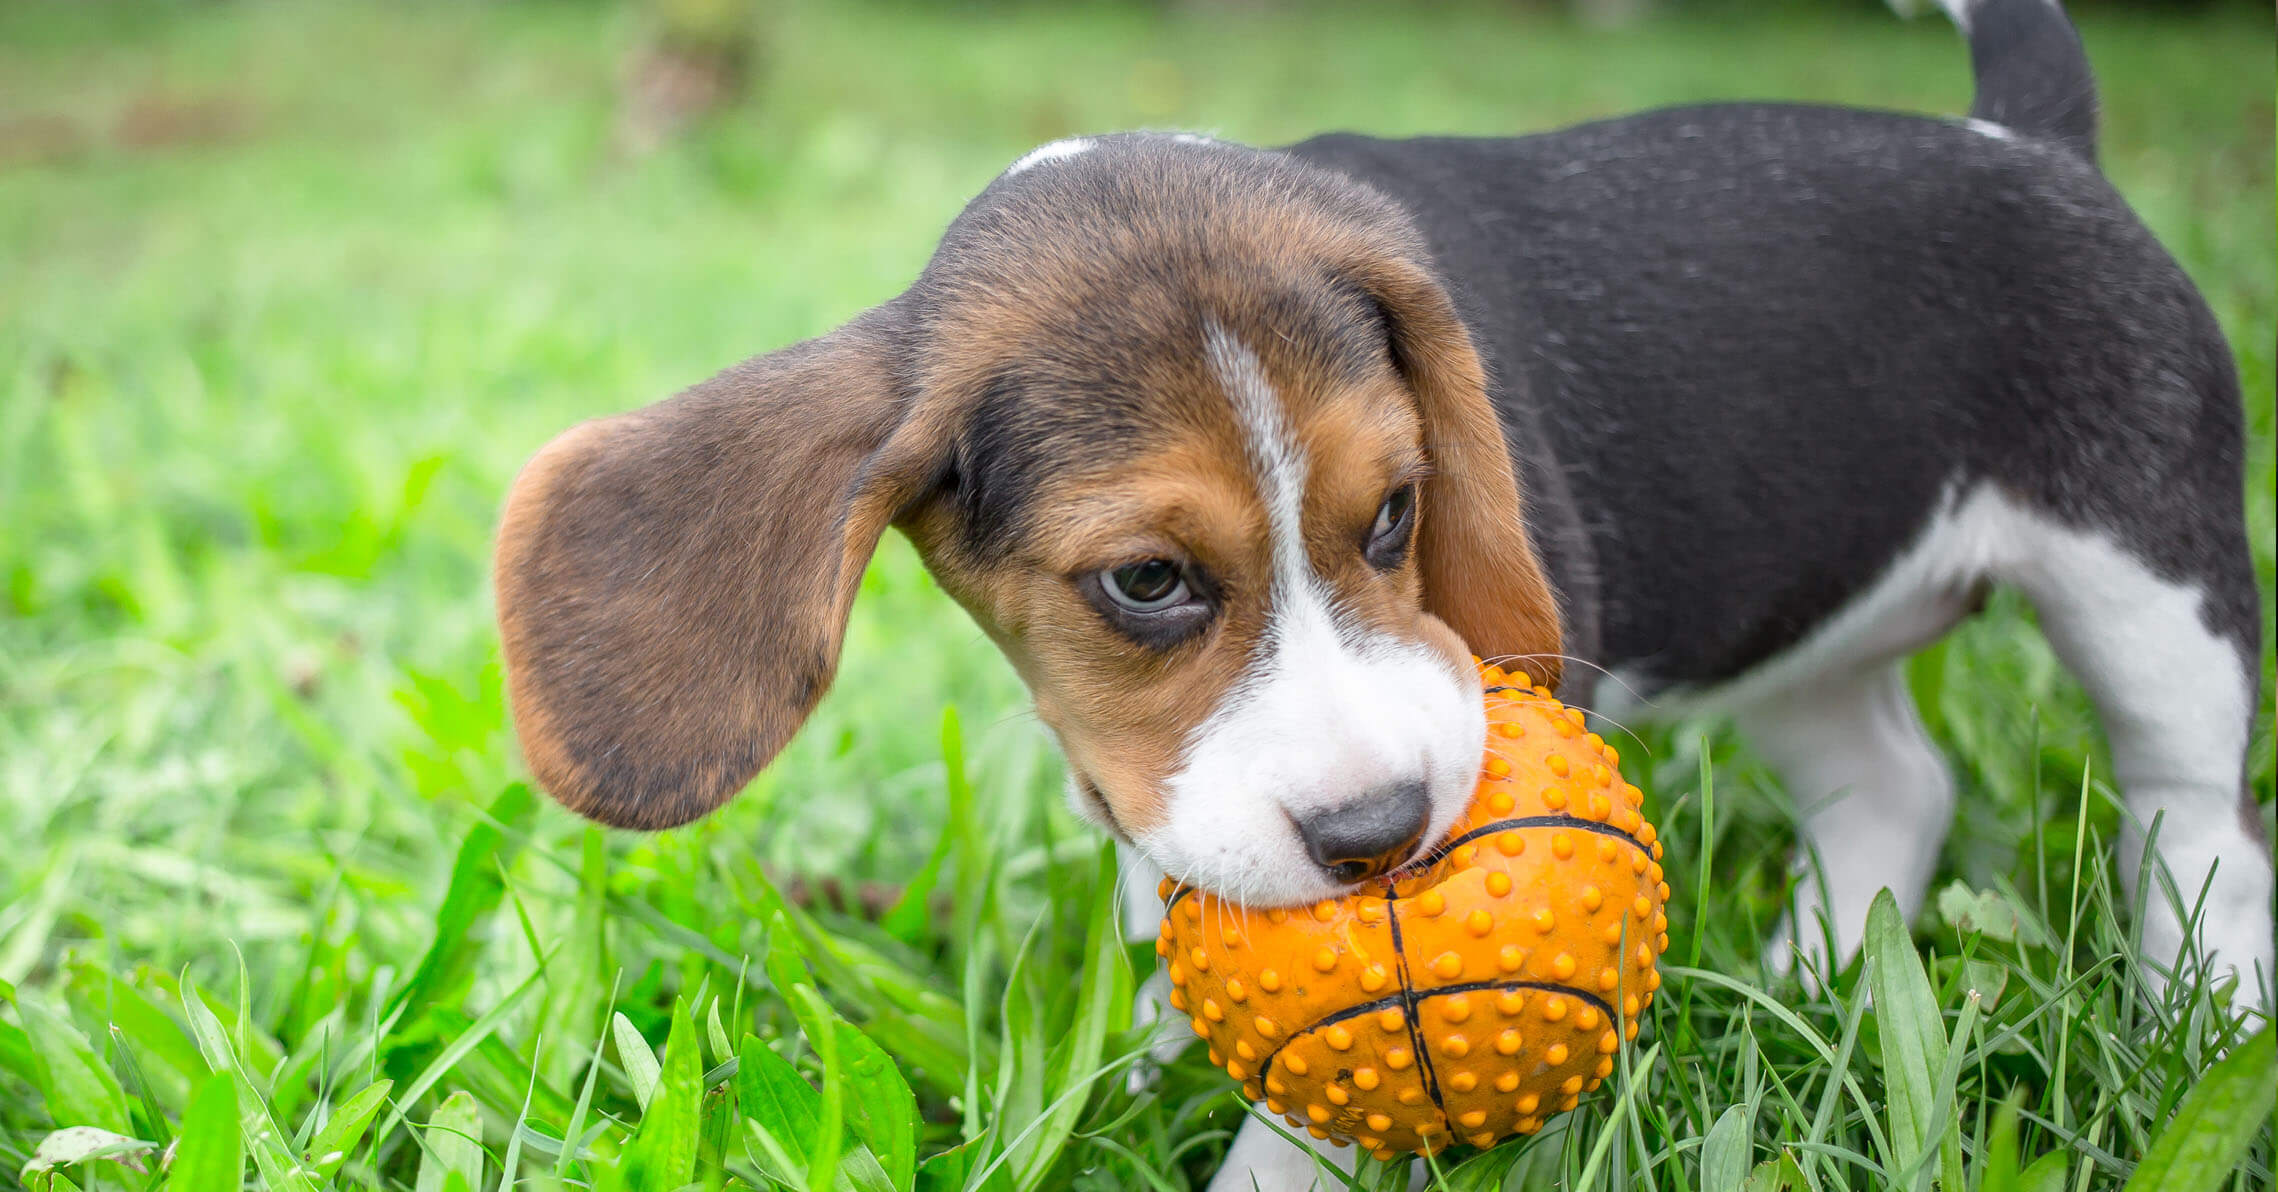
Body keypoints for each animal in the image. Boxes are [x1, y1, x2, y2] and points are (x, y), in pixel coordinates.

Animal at [489, 4, 2268, 1185]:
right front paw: (1139, 1072)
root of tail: (2023, 139)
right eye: (1145, 581)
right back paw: (1815, 979)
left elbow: (1313, 1107)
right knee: (1893, 784)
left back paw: (2201, 1027)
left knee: (2196, 819)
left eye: (1400, 511)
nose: (1377, 838)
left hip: (2150, 583)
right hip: (1803, 621)